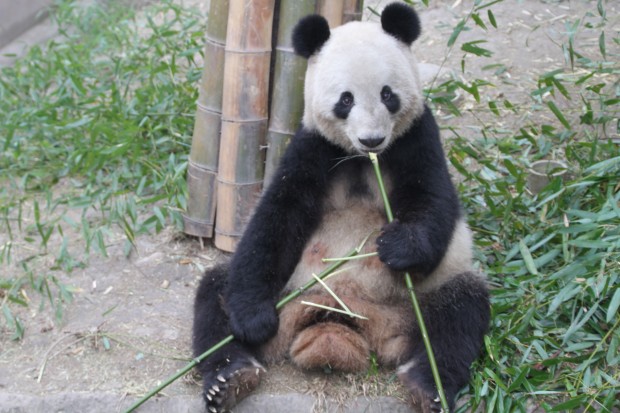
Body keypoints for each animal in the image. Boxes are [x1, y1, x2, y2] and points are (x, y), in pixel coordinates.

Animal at [193, 4, 490, 412]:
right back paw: (230, 376)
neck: (363, 159)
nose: (372, 139)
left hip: (417, 301)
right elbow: (276, 218)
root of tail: (337, 319)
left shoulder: (418, 138)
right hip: (287, 295)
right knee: (216, 293)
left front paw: (398, 246)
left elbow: (432, 202)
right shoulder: (313, 146)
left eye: (387, 94)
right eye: (345, 100)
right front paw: (252, 320)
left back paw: (428, 385)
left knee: (458, 315)